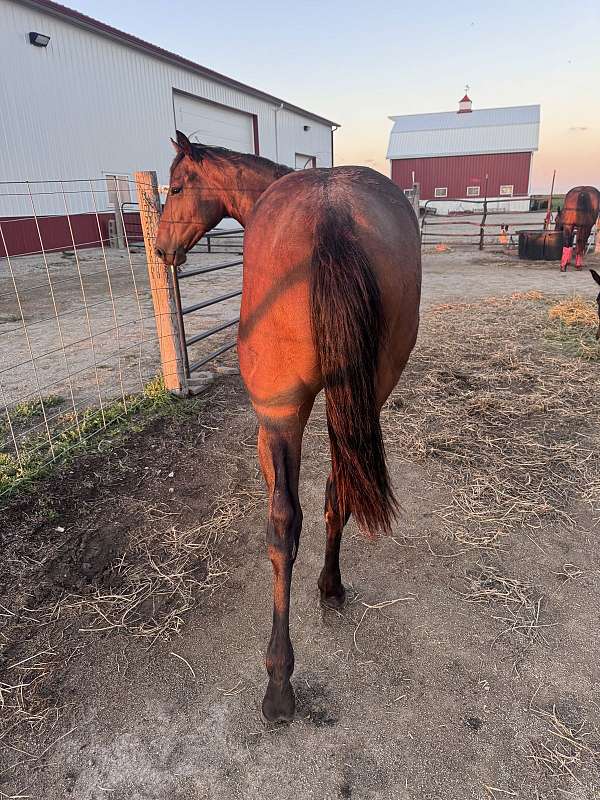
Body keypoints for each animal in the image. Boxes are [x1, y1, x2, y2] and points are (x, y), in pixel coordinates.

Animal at [155, 131, 421, 722]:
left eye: (177, 186)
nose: (160, 249)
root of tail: (332, 215)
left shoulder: (269, 426)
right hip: (365, 397)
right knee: (339, 487)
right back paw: (331, 585)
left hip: (279, 415)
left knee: (282, 526)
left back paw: (278, 682)